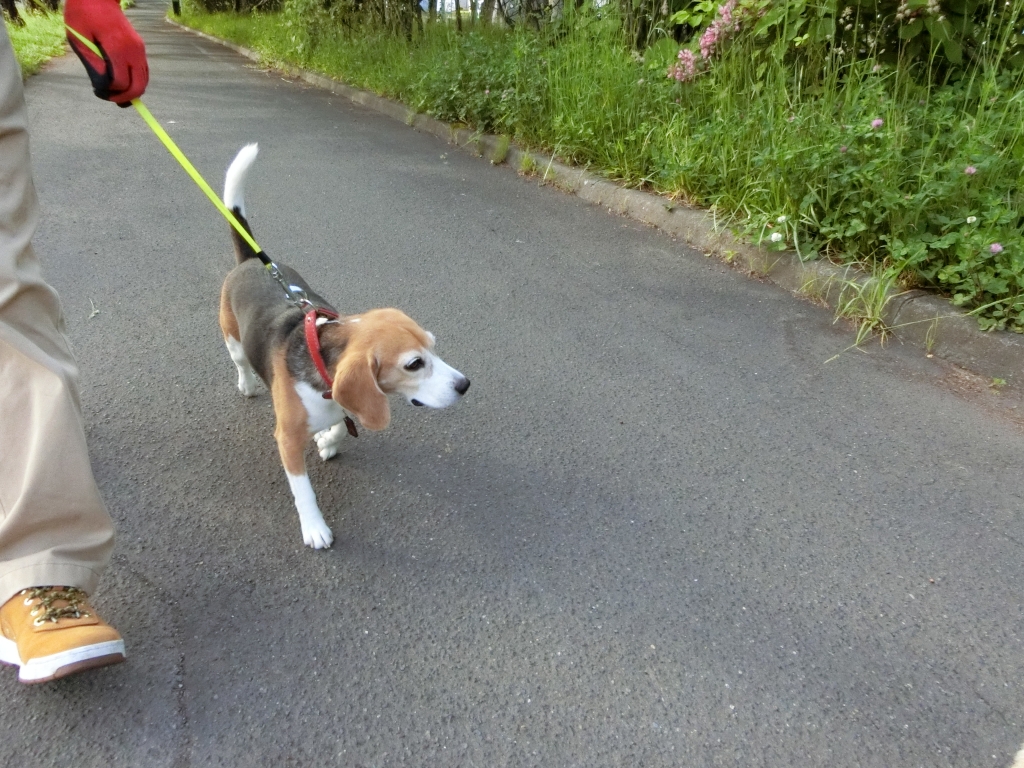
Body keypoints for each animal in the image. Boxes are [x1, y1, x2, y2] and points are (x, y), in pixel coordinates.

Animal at [218, 144, 469, 549]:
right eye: (414, 364)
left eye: (434, 346)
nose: (465, 385)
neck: (321, 365)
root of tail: (253, 262)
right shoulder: (287, 439)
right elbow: (303, 490)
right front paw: (315, 527)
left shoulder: (346, 399)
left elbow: (341, 425)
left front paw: (328, 441)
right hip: (233, 339)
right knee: (240, 362)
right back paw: (246, 384)